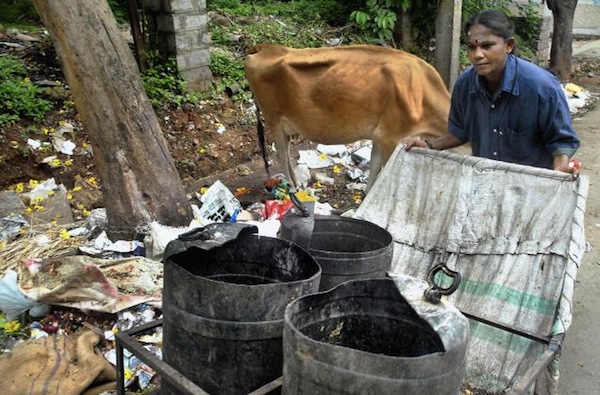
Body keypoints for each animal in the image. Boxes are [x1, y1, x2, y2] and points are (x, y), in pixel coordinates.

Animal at [245, 43, 450, 192]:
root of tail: (265, 47)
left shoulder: (380, 136)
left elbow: (374, 165)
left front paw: (368, 194)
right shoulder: (391, 137)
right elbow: (383, 169)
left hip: (285, 125)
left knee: (287, 153)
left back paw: (297, 184)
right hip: (273, 118)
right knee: (281, 154)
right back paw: (292, 190)